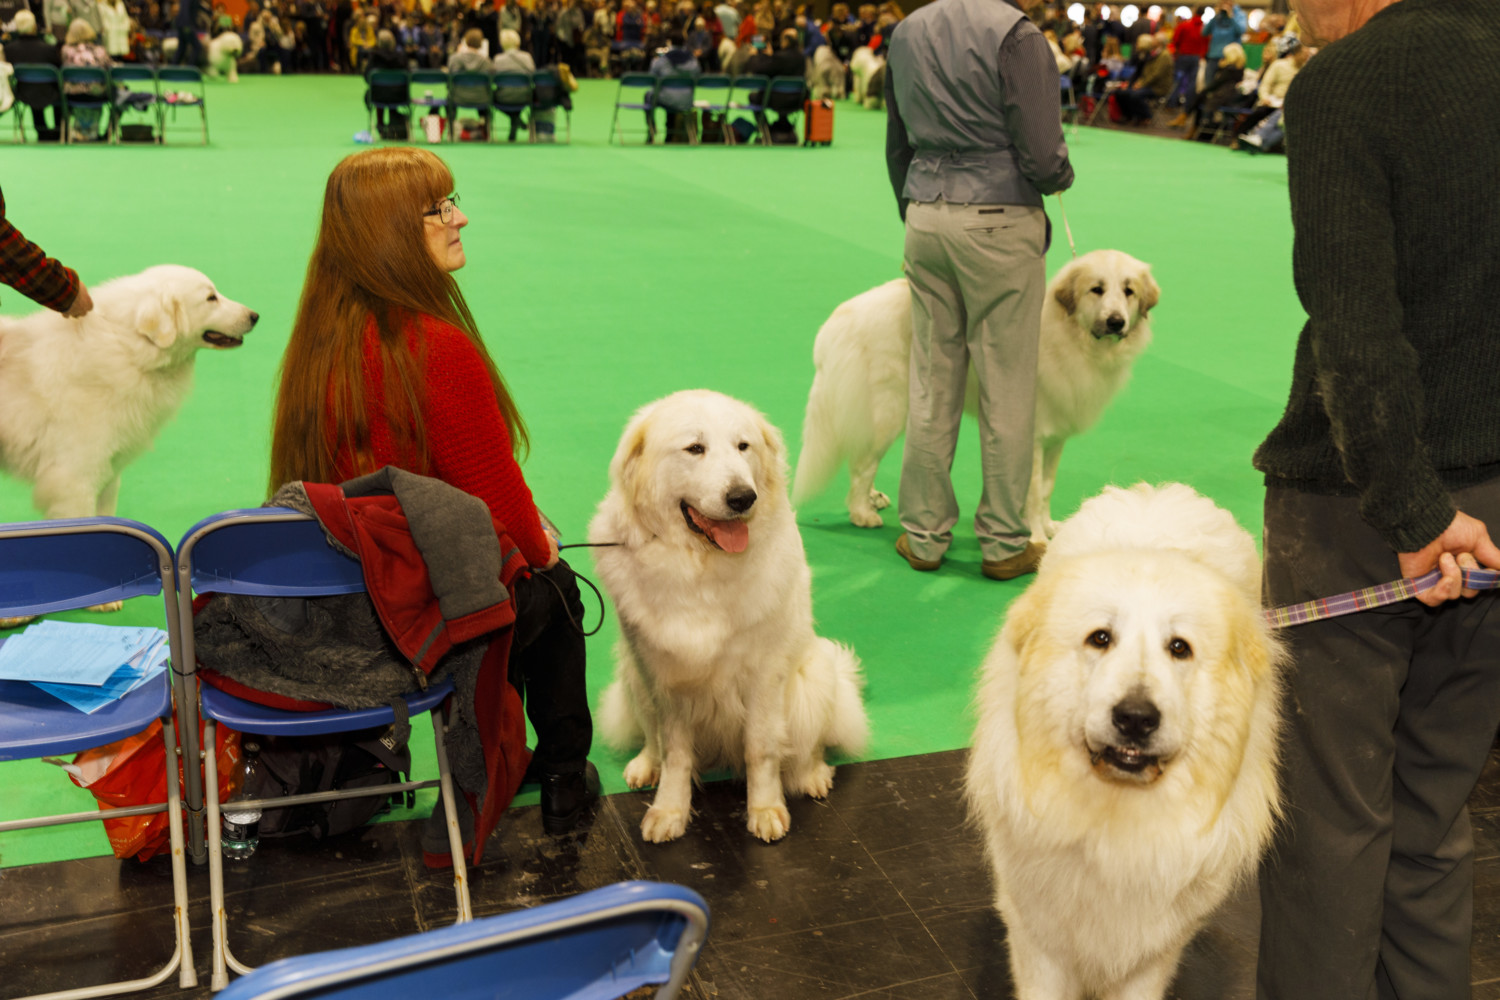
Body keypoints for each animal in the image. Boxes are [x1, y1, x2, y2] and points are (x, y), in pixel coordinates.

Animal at [589, 390, 869, 844]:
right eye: (695, 448)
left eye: (743, 446)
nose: (743, 497)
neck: (701, 568)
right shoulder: (664, 679)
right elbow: (674, 751)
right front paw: (669, 810)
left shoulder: (763, 676)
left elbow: (762, 748)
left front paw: (766, 810)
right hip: (632, 675)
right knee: (651, 737)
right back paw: (645, 765)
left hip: (815, 676)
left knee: (807, 746)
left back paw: (812, 776)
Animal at [792, 250, 1158, 542]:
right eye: (1097, 290)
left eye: (1129, 292)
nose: (1116, 322)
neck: (1071, 334)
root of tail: (836, 322)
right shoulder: (1033, 437)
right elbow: (1033, 491)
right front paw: (1036, 538)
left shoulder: (1056, 438)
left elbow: (1047, 488)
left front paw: (1050, 526)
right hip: (887, 411)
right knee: (862, 463)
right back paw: (861, 513)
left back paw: (872, 498)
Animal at [965, 482, 1284, 1000]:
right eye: (1100, 638)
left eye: (1179, 648)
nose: (1136, 718)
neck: (1113, 820)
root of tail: (1155, 495)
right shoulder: (1039, 933)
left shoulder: (1153, 948)